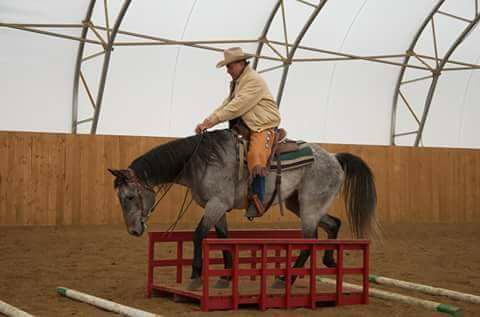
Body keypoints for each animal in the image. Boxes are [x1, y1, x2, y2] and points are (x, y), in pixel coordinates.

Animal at [109, 128, 378, 288]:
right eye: (120, 198)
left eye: (130, 197)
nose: (133, 230)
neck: (202, 161)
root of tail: (334, 158)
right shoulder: (216, 208)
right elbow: (223, 239)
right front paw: (225, 277)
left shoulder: (217, 204)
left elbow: (199, 235)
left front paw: (196, 276)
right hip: (299, 204)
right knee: (333, 224)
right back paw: (329, 260)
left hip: (310, 208)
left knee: (310, 241)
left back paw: (285, 278)